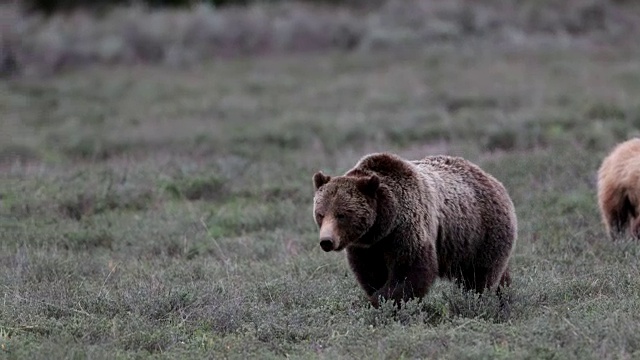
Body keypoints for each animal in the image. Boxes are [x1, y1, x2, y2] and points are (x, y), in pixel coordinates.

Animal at [312, 153, 516, 308]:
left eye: (342, 215)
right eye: (320, 214)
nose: (327, 241)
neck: (383, 225)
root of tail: (495, 181)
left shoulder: (407, 228)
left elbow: (410, 270)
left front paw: (381, 300)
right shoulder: (367, 247)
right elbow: (371, 272)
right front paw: (377, 296)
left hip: (480, 233)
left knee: (479, 276)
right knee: (499, 276)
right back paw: (505, 297)